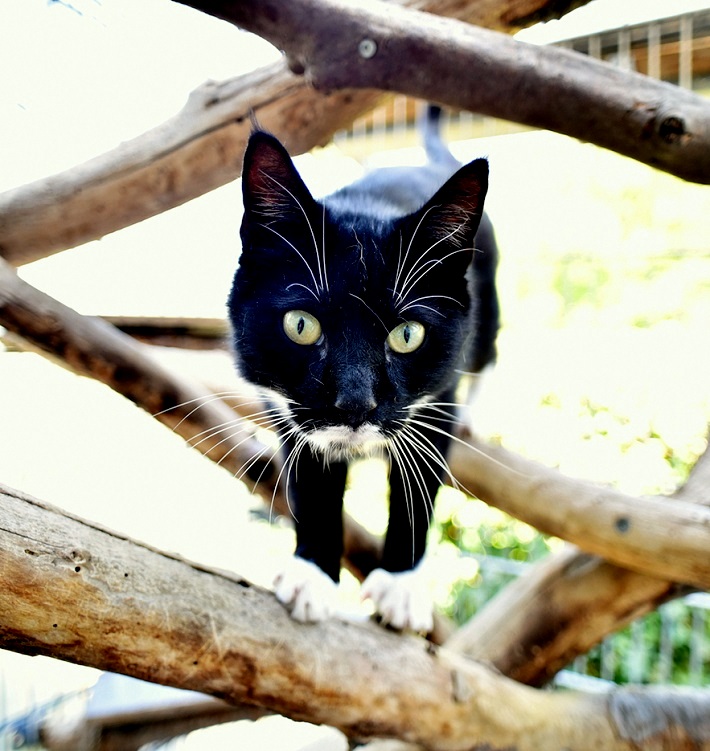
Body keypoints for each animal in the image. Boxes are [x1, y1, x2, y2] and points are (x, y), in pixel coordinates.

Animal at [229, 108, 500, 632]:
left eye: (407, 334)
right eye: (301, 325)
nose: (355, 404)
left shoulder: (436, 400)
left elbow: (418, 485)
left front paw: (401, 584)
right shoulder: (289, 406)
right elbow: (312, 478)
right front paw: (313, 574)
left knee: (488, 352)